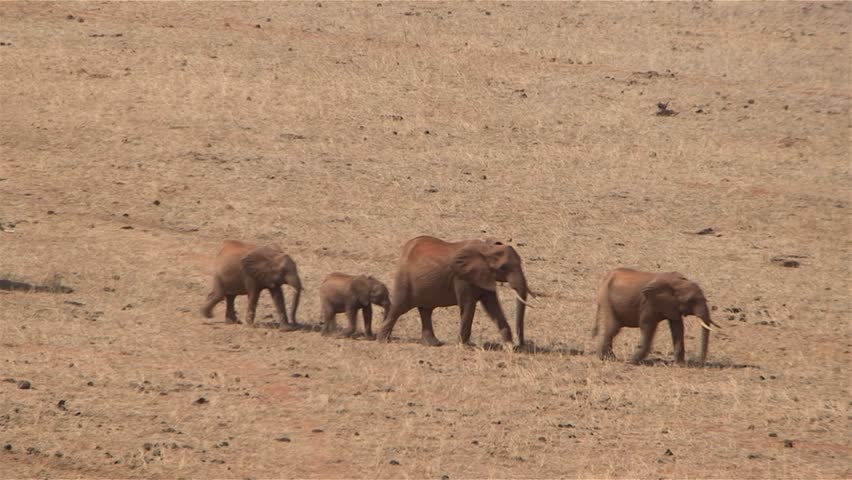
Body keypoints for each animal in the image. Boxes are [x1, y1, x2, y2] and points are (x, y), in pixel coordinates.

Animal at [377, 236, 531, 348]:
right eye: (503, 267)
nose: (520, 345)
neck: (486, 248)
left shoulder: (484, 276)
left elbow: (493, 306)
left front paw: (508, 346)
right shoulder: (462, 277)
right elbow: (468, 305)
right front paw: (465, 346)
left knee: (426, 311)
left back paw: (433, 344)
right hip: (404, 280)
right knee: (399, 308)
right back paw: (383, 340)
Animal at [592, 268, 721, 364]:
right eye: (690, 300)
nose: (700, 361)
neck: (676, 283)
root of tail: (606, 278)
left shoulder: (672, 306)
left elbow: (678, 327)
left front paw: (680, 364)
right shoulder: (649, 304)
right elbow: (647, 326)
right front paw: (631, 361)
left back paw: (609, 358)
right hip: (607, 300)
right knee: (613, 328)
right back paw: (608, 358)